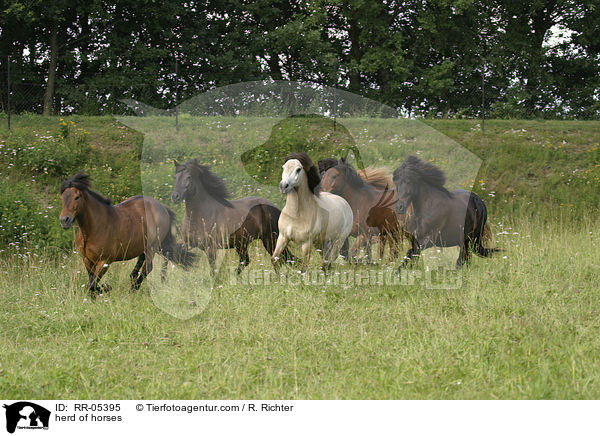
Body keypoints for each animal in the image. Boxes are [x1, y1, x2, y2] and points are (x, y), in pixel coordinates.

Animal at [59, 173, 195, 292]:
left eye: (77, 197)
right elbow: (91, 283)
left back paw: (133, 289)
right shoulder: (87, 260)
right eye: (62, 197)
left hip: (152, 247)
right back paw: (133, 284)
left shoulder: (105, 261)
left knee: (147, 268)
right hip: (143, 247)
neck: (93, 229)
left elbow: (93, 284)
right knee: (138, 267)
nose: (64, 220)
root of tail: (162, 208)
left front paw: (107, 288)